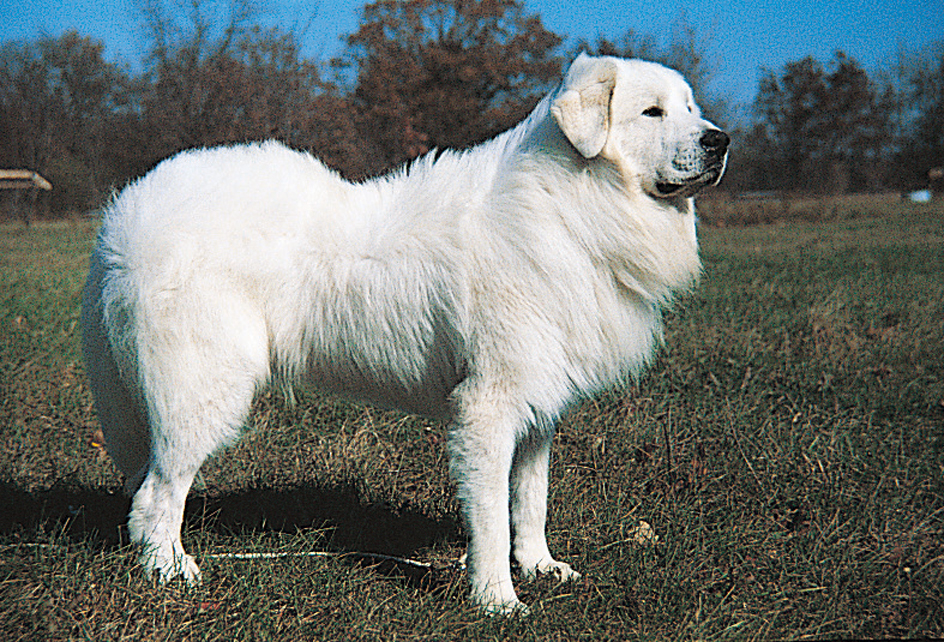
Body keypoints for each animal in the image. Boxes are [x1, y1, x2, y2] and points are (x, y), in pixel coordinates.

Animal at [83, 53, 732, 608]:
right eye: (652, 112)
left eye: (691, 108)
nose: (719, 141)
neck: (571, 207)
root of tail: (124, 221)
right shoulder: (487, 407)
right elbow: (492, 516)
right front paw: (497, 600)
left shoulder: (537, 405)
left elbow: (531, 499)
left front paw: (540, 567)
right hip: (204, 392)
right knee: (155, 495)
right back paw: (172, 572)